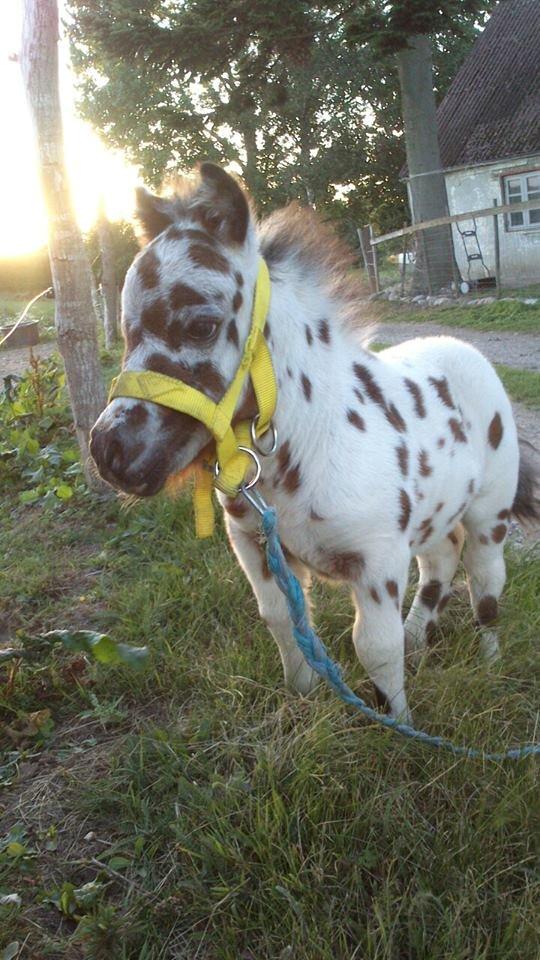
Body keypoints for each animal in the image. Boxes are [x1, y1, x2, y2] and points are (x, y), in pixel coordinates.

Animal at [90, 163, 536, 720]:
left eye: (202, 325)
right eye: (125, 330)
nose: (110, 451)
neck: (315, 443)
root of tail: (466, 352)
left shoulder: (377, 561)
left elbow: (375, 646)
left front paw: (398, 724)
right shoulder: (256, 546)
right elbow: (283, 620)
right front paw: (300, 697)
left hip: (489, 517)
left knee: (485, 587)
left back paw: (490, 663)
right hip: (435, 514)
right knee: (441, 559)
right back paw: (421, 636)